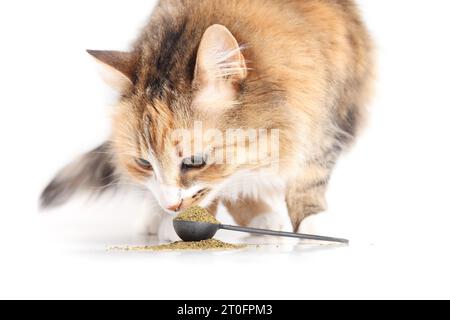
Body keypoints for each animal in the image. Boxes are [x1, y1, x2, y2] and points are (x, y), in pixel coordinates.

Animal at [41, 0, 372, 240]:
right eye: (144, 163)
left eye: (195, 161)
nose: (170, 205)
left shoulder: (329, 118)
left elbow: (308, 176)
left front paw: (312, 223)